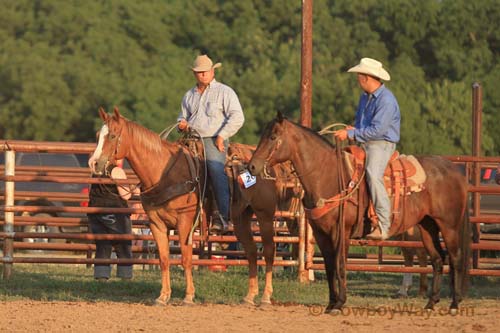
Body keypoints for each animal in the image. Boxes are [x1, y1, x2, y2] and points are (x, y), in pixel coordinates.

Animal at [89, 107, 296, 306]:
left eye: (112, 135)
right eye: (98, 134)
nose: (93, 163)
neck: (164, 172)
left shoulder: (185, 222)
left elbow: (186, 258)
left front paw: (188, 296)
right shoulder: (156, 224)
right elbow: (164, 259)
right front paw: (163, 296)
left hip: (264, 214)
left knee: (268, 251)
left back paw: (266, 297)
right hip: (241, 218)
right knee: (252, 252)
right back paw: (249, 296)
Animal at [248, 113, 470, 312]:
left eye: (273, 137)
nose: (252, 166)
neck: (327, 175)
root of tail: (455, 171)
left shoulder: (342, 232)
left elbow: (340, 265)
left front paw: (340, 303)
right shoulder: (321, 233)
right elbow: (329, 266)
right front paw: (331, 303)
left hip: (449, 226)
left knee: (455, 258)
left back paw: (454, 304)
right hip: (427, 225)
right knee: (438, 259)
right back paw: (431, 303)